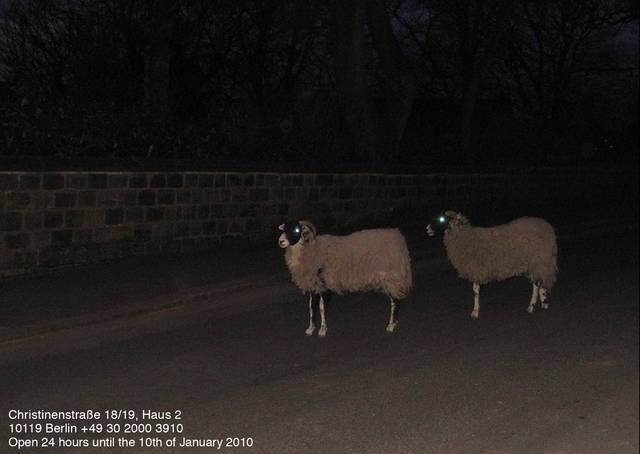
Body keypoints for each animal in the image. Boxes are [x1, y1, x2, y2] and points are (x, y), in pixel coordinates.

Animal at [278, 220, 412, 337]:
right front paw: (310, 328)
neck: (311, 249)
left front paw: (322, 330)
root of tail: (398, 237)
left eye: (296, 229)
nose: (280, 241)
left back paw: (391, 325)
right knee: (395, 299)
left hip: (391, 277)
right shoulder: (313, 285)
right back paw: (394, 322)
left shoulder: (324, 286)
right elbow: (311, 307)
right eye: (284, 229)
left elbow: (321, 308)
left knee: (395, 301)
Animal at [426, 210, 557, 318]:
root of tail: (547, 226)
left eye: (441, 219)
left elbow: (475, 291)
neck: (464, 239)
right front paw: (475, 310)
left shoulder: (476, 269)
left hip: (539, 260)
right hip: (535, 263)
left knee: (538, 282)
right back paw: (539, 302)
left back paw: (537, 304)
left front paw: (475, 312)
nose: (427, 229)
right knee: (538, 282)